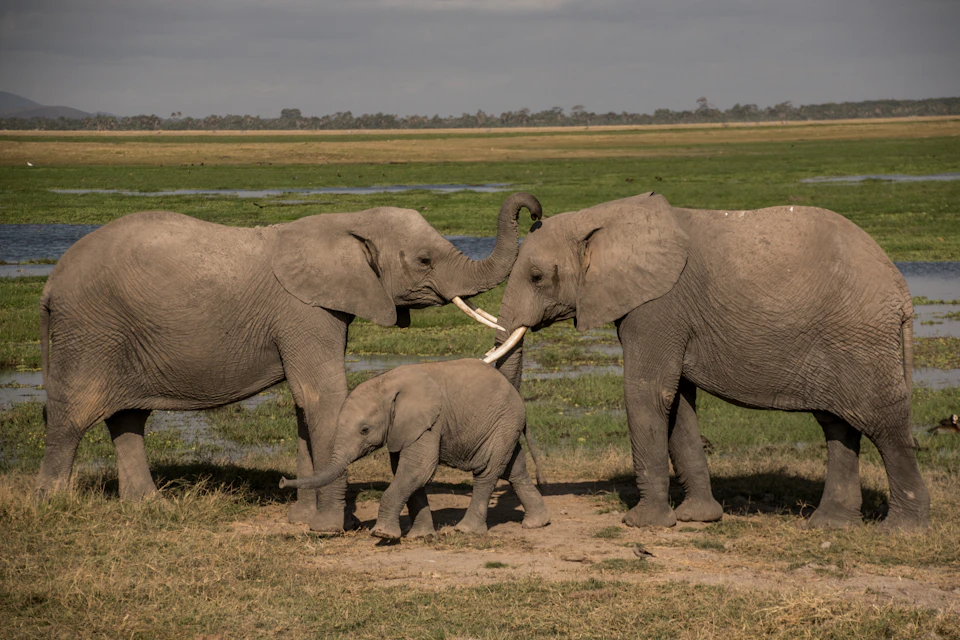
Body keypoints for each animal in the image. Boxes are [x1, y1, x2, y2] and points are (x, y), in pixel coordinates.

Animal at [279, 359, 550, 540]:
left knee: (487, 471)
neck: (387, 384)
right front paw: (420, 537)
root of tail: (518, 398)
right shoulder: (402, 429)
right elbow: (407, 473)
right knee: (514, 469)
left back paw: (466, 530)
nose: (282, 481)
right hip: (504, 426)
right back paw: (537, 524)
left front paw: (382, 535)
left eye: (364, 430)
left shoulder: (429, 423)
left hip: (503, 422)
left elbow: (417, 469)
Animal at [485, 191, 929, 531]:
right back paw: (829, 525)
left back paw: (901, 529)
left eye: (538, 277)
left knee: (884, 423)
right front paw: (698, 518)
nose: (534, 211)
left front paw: (642, 524)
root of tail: (900, 290)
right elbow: (679, 402)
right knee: (838, 424)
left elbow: (648, 394)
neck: (600, 217)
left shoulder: (659, 305)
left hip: (860, 337)